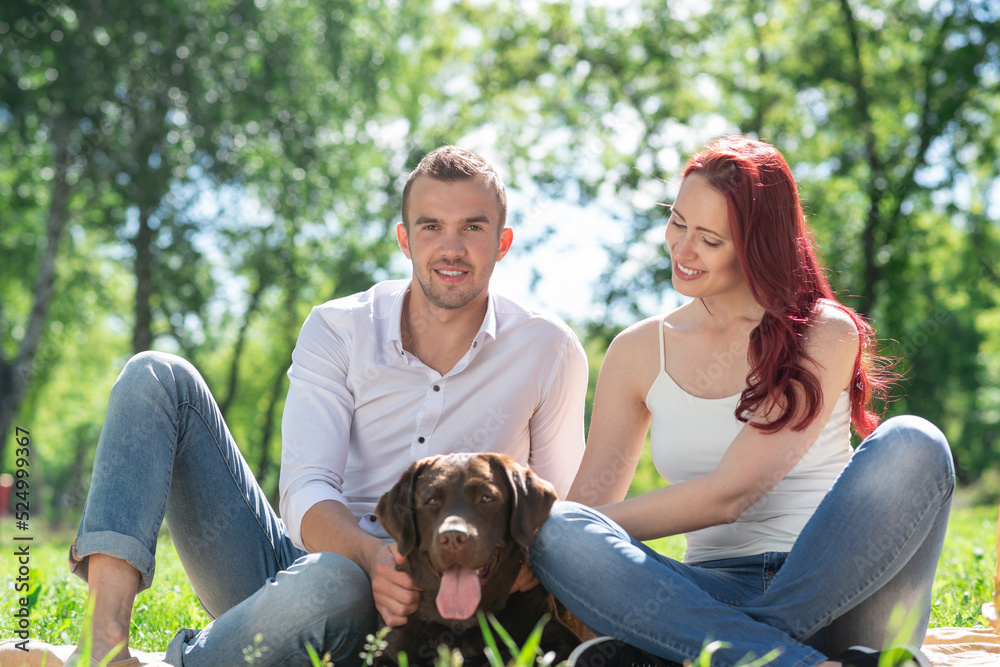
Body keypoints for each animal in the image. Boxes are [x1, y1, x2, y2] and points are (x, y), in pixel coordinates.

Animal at [376, 452, 584, 664]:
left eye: (486, 498)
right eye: (431, 500)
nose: (453, 537)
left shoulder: (558, 636)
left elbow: (511, 654)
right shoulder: (387, 652)